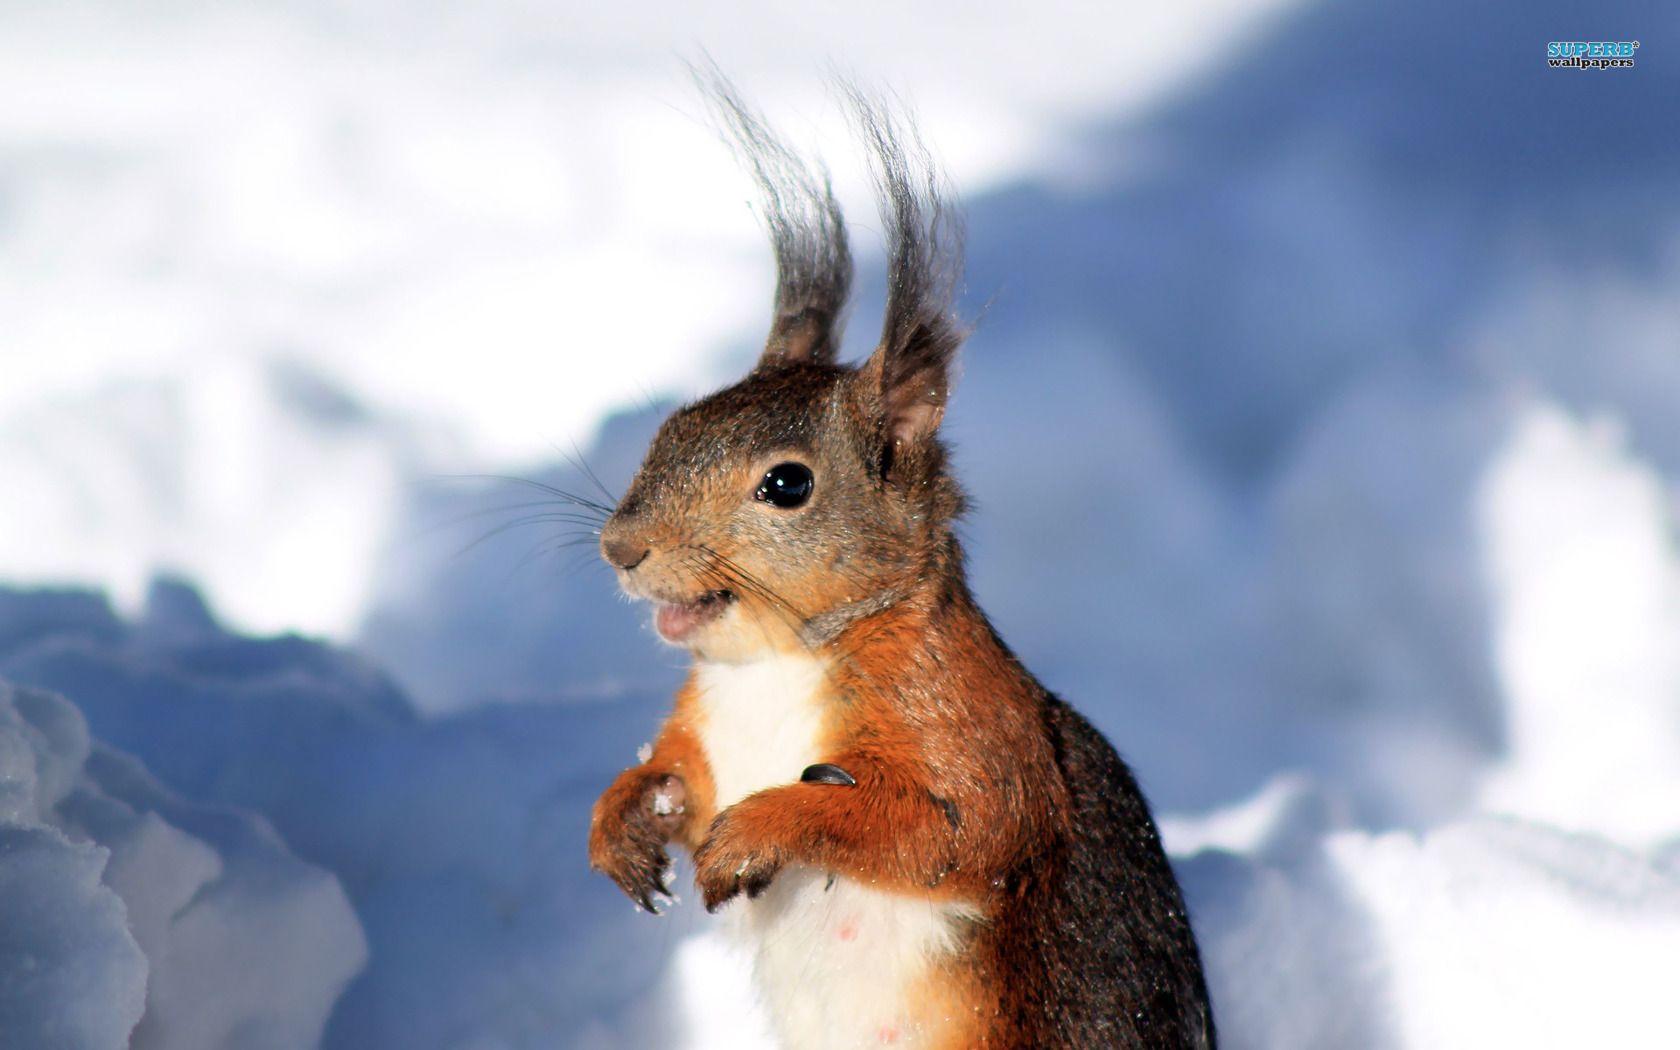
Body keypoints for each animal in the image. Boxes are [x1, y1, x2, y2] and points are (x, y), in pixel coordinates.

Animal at [588, 78, 1216, 1050]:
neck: (774, 666)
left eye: (788, 483)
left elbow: (948, 830)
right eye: (671, 426)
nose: (621, 547)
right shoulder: (708, 728)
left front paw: (757, 831)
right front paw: (624, 817)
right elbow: (679, 778)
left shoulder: (973, 730)